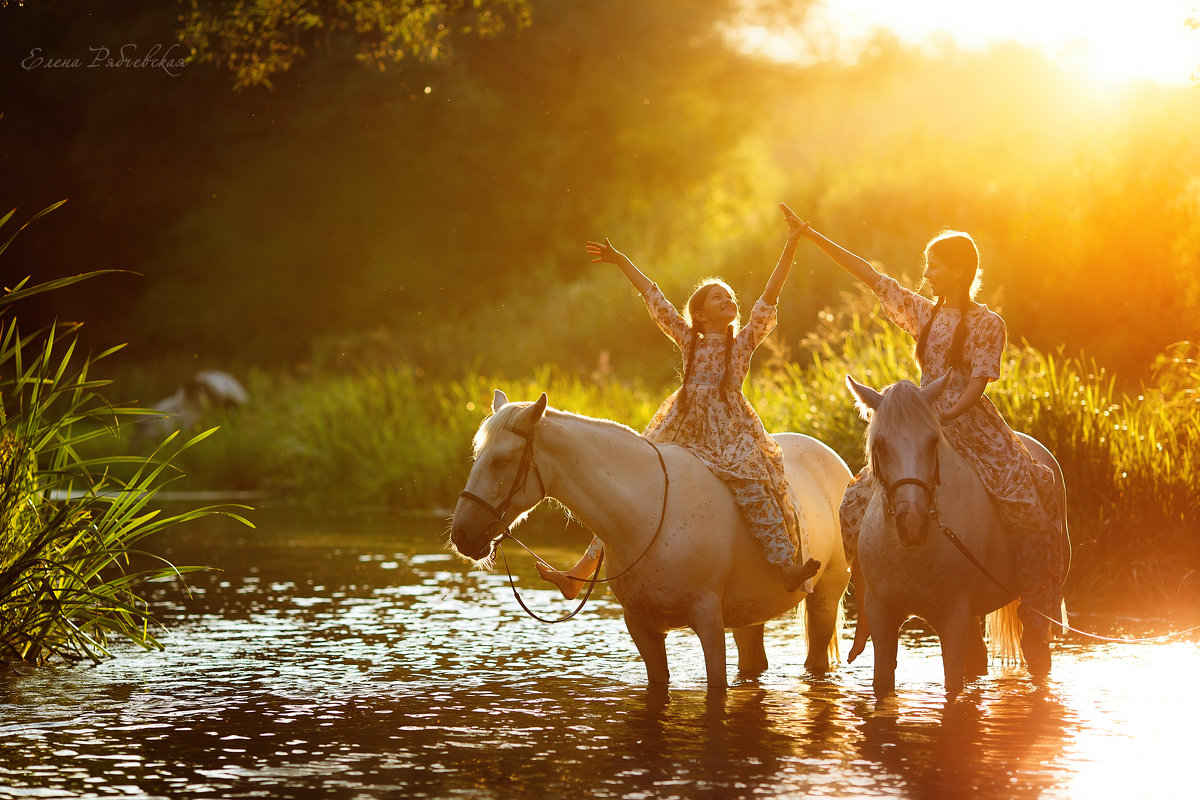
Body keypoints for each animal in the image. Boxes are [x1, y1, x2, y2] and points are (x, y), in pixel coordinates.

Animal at [451, 391, 854, 690]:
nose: (462, 536)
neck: (645, 512)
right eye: (477, 455)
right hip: (748, 614)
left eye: (501, 460)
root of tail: (833, 457)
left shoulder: (709, 621)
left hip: (825, 597)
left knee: (817, 659)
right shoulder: (641, 627)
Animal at [844, 376, 1070, 695]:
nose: (912, 522)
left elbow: (952, 686)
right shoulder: (881, 616)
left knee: (1036, 651)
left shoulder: (953, 618)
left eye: (932, 441)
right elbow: (883, 682)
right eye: (880, 445)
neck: (909, 555)